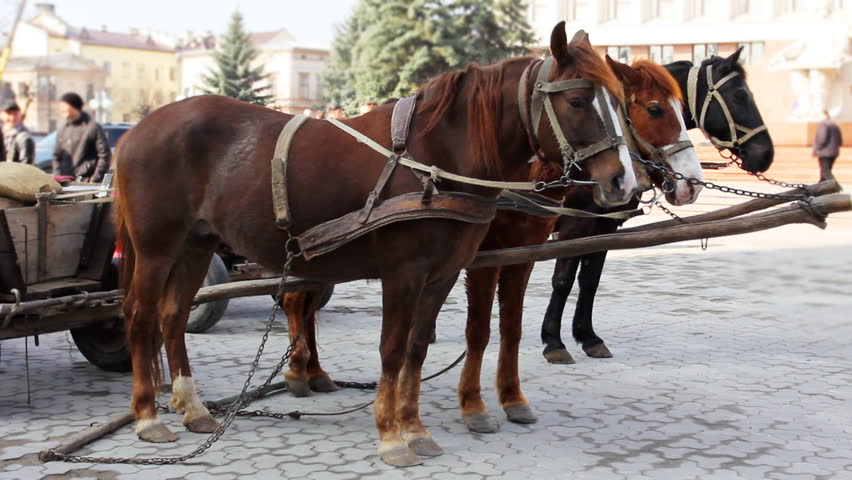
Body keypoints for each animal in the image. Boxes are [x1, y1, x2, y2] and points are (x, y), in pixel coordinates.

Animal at [115, 22, 636, 467]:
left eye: (621, 101)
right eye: (577, 101)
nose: (621, 182)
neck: (434, 160)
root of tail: (137, 131)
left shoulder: (443, 273)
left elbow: (418, 347)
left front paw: (415, 428)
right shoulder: (403, 273)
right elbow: (392, 349)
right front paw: (391, 435)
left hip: (197, 242)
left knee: (172, 315)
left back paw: (193, 407)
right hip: (158, 245)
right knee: (141, 315)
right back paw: (148, 416)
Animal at [540, 47, 775, 364]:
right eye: (739, 95)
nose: (766, 153)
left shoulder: (605, 225)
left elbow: (590, 280)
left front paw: (588, 337)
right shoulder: (575, 225)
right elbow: (563, 280)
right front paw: (553, 341)